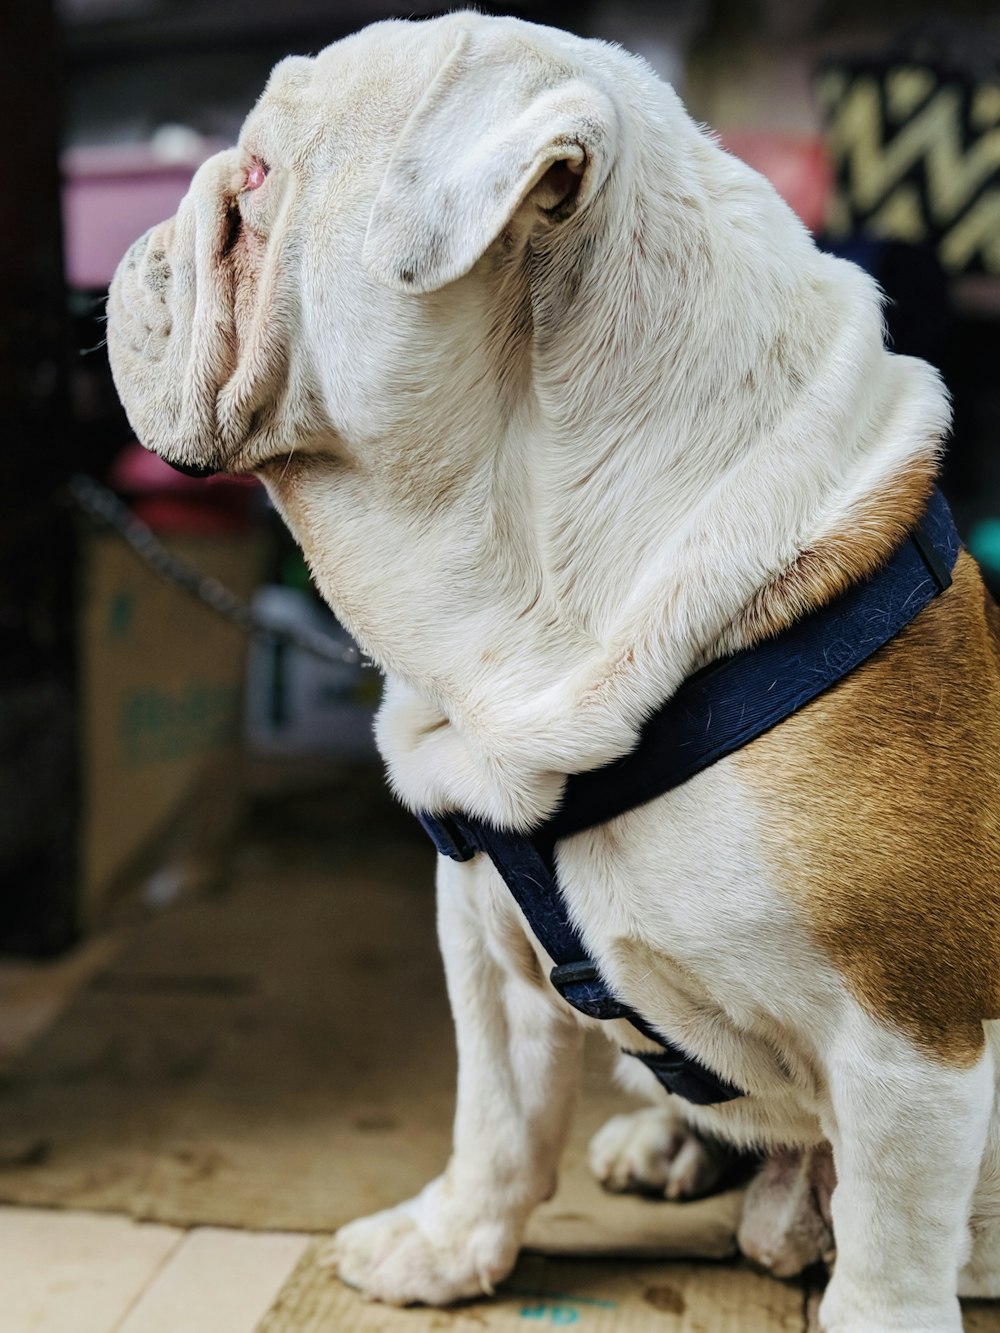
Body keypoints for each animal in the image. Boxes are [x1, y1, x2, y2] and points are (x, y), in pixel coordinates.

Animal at [106, 12, 1000, 1333]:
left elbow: (891, 1244)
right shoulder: (483, 939)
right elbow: (498, 1117)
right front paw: (446, 1247)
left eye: (259, 176)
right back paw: (673, 1145)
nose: (144, 241)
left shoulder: (908, 1031)